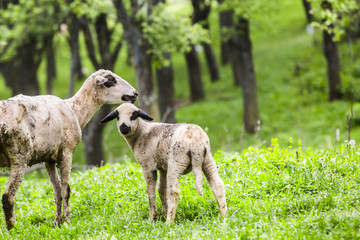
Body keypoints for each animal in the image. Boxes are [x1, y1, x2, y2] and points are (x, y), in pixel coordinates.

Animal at [0, 69, 138, 229]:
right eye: (111, 81)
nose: (135, 93)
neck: (75, 110)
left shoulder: (48, 159)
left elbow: (57, 191)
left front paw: (57, 222)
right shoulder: (67, 151)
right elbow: (66, 189)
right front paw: (67, 221)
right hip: (20, 154)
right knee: (8, 196)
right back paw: (13, 229)